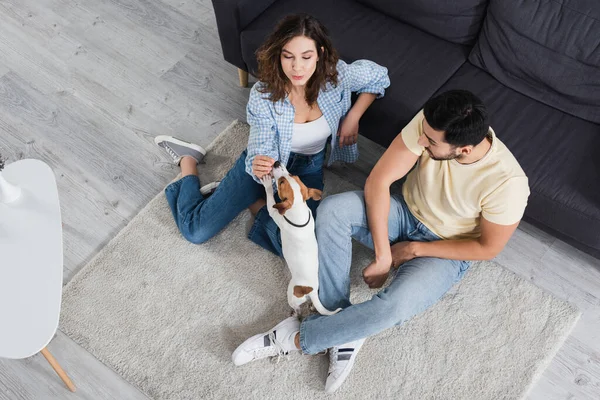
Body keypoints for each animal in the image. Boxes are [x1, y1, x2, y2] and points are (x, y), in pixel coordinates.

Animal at [258, 162, 340, 316]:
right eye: (292, 174)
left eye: (281, 182)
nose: (277, 162)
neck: (298, 209)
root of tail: (311, 290)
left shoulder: (274, 213)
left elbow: (270, 198)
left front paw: (267, 183)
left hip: (291, 292)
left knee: (295, 306)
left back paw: (295, 313)